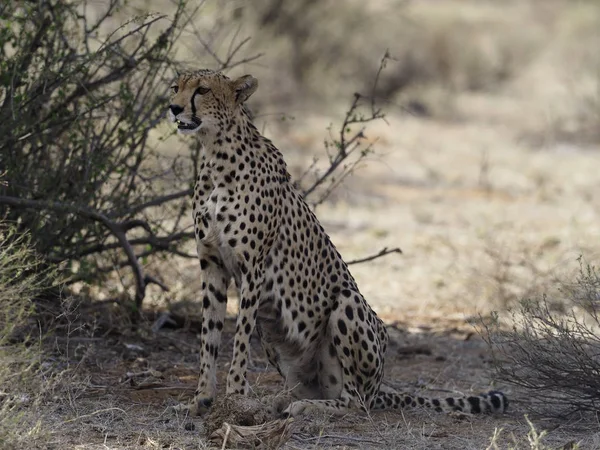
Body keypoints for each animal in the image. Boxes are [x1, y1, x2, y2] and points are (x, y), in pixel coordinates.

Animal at [168, 70, 506, 418]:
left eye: (202, 90)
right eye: (175, 87)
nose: (174, 108)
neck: (216, 154)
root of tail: (379, 389)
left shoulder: (253, 270)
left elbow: (239, 340)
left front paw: (234, 396)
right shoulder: (212, 265)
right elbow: (209, 338)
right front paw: (200, 400)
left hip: (347, 303)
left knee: (354, 402)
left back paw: (305, 407)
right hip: (275, 335)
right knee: (309, 387)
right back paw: (280, 401)